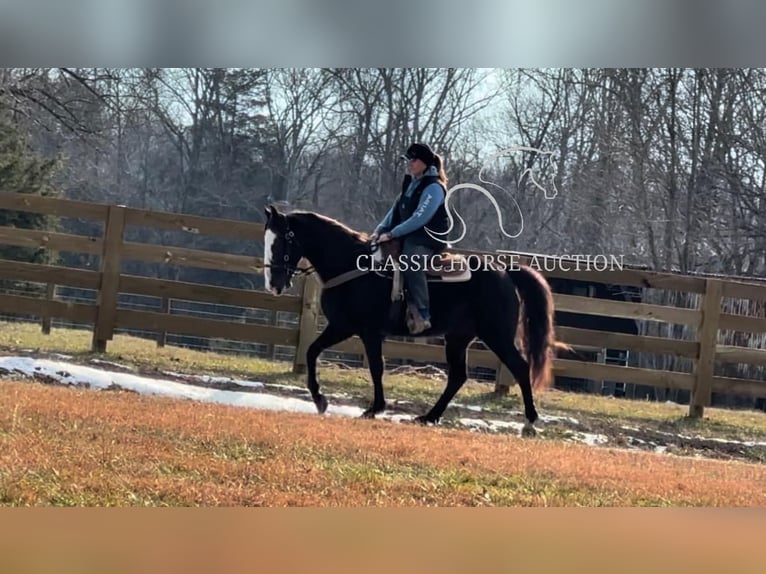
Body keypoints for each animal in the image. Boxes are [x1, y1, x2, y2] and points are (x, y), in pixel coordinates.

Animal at [264, 206, 564, 436]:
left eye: (280, 241)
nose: (274, 284)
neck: (353, 265)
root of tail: (505, 271)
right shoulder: (341, 326)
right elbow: (312, 351)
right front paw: (319, 399)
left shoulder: (366, 331)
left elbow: (376, 367)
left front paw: (374, 408)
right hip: (458, 338)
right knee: (458, 376)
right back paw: (428, 416)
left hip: (496, 335)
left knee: (520, 367)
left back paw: (530, 422)